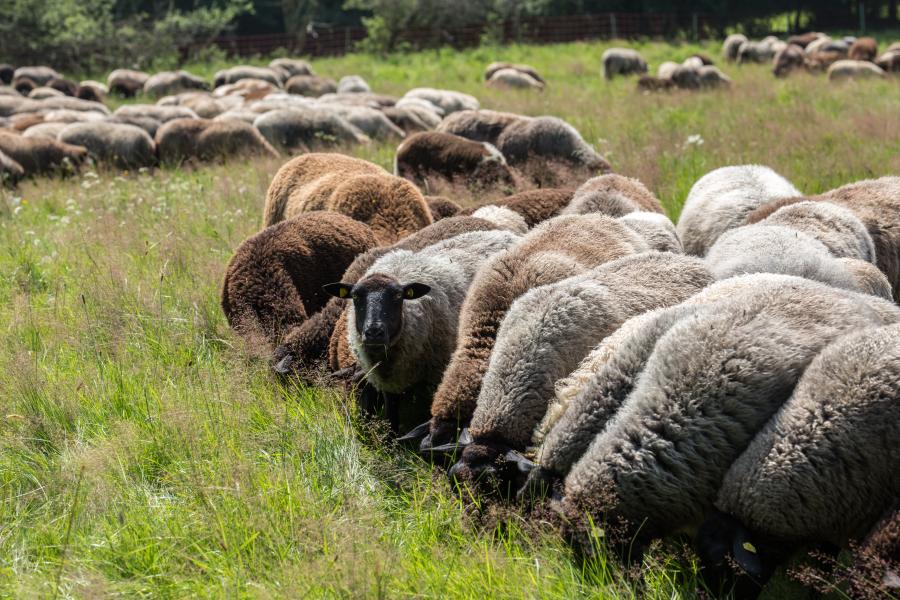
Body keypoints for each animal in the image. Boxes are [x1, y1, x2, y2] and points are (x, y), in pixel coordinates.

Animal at [326, 229, 521, 431]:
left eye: (398, 296)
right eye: (356, 296)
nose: (374, 332)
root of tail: (502, 232)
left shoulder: (435, 376)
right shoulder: (387, 383)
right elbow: (391, 413)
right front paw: (392, 436)